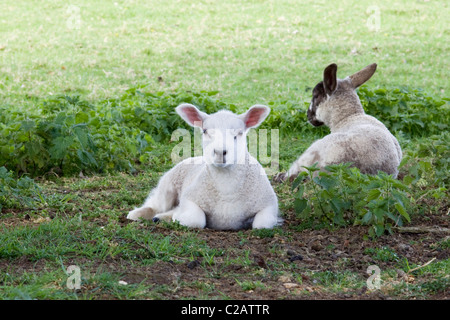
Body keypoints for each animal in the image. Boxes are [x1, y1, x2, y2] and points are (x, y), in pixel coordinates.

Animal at [127, 104, 282, 230]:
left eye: (239, 133)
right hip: (168, 186)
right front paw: (177, 216)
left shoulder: (269, 205)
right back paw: (136, 214)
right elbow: (196, 220)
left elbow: (261, 224)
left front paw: (173, 216)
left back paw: (161, 217)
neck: (227, 191)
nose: (219, 152)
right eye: (205, 131)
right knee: (155, 205)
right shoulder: (190, 197)